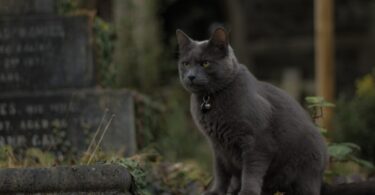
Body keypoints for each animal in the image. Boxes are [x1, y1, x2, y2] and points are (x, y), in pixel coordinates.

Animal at [178, 27, 328, 195]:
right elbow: (220, 172)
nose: (191, 76)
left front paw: (247, 192)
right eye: (185, 63)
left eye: (205, 63)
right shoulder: (217, 147)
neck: (209, 99)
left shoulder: (256, 142)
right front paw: (215, 191)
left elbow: (251, 171)